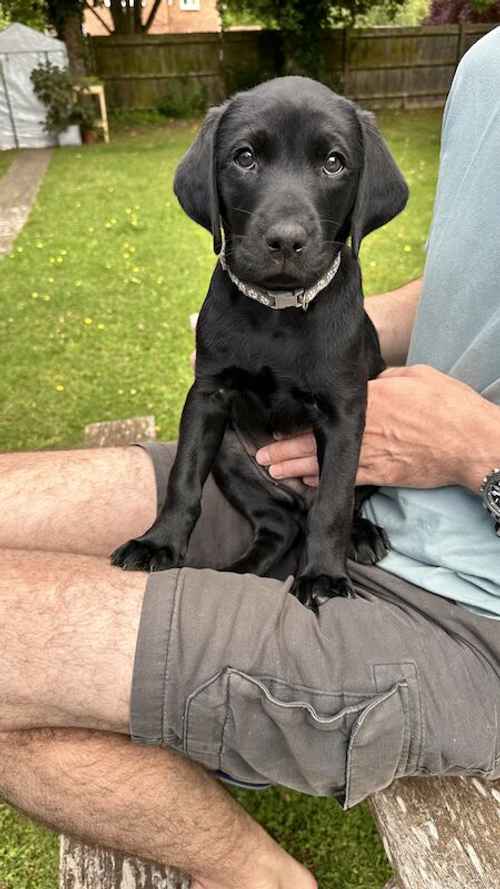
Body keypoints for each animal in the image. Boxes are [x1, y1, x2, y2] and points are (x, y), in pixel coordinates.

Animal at [111, 78, 408, 612]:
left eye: (334, 162)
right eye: (244, 157)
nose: (286, 240)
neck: (277, 312)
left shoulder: (346, 413)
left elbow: (334, 502)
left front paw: (324, 575)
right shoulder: (207, 396)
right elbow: (183, 479)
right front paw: (158, 542)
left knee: (331, 507)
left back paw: (361, 535)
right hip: (233, 455)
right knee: (280, 526)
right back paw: (236, 572)